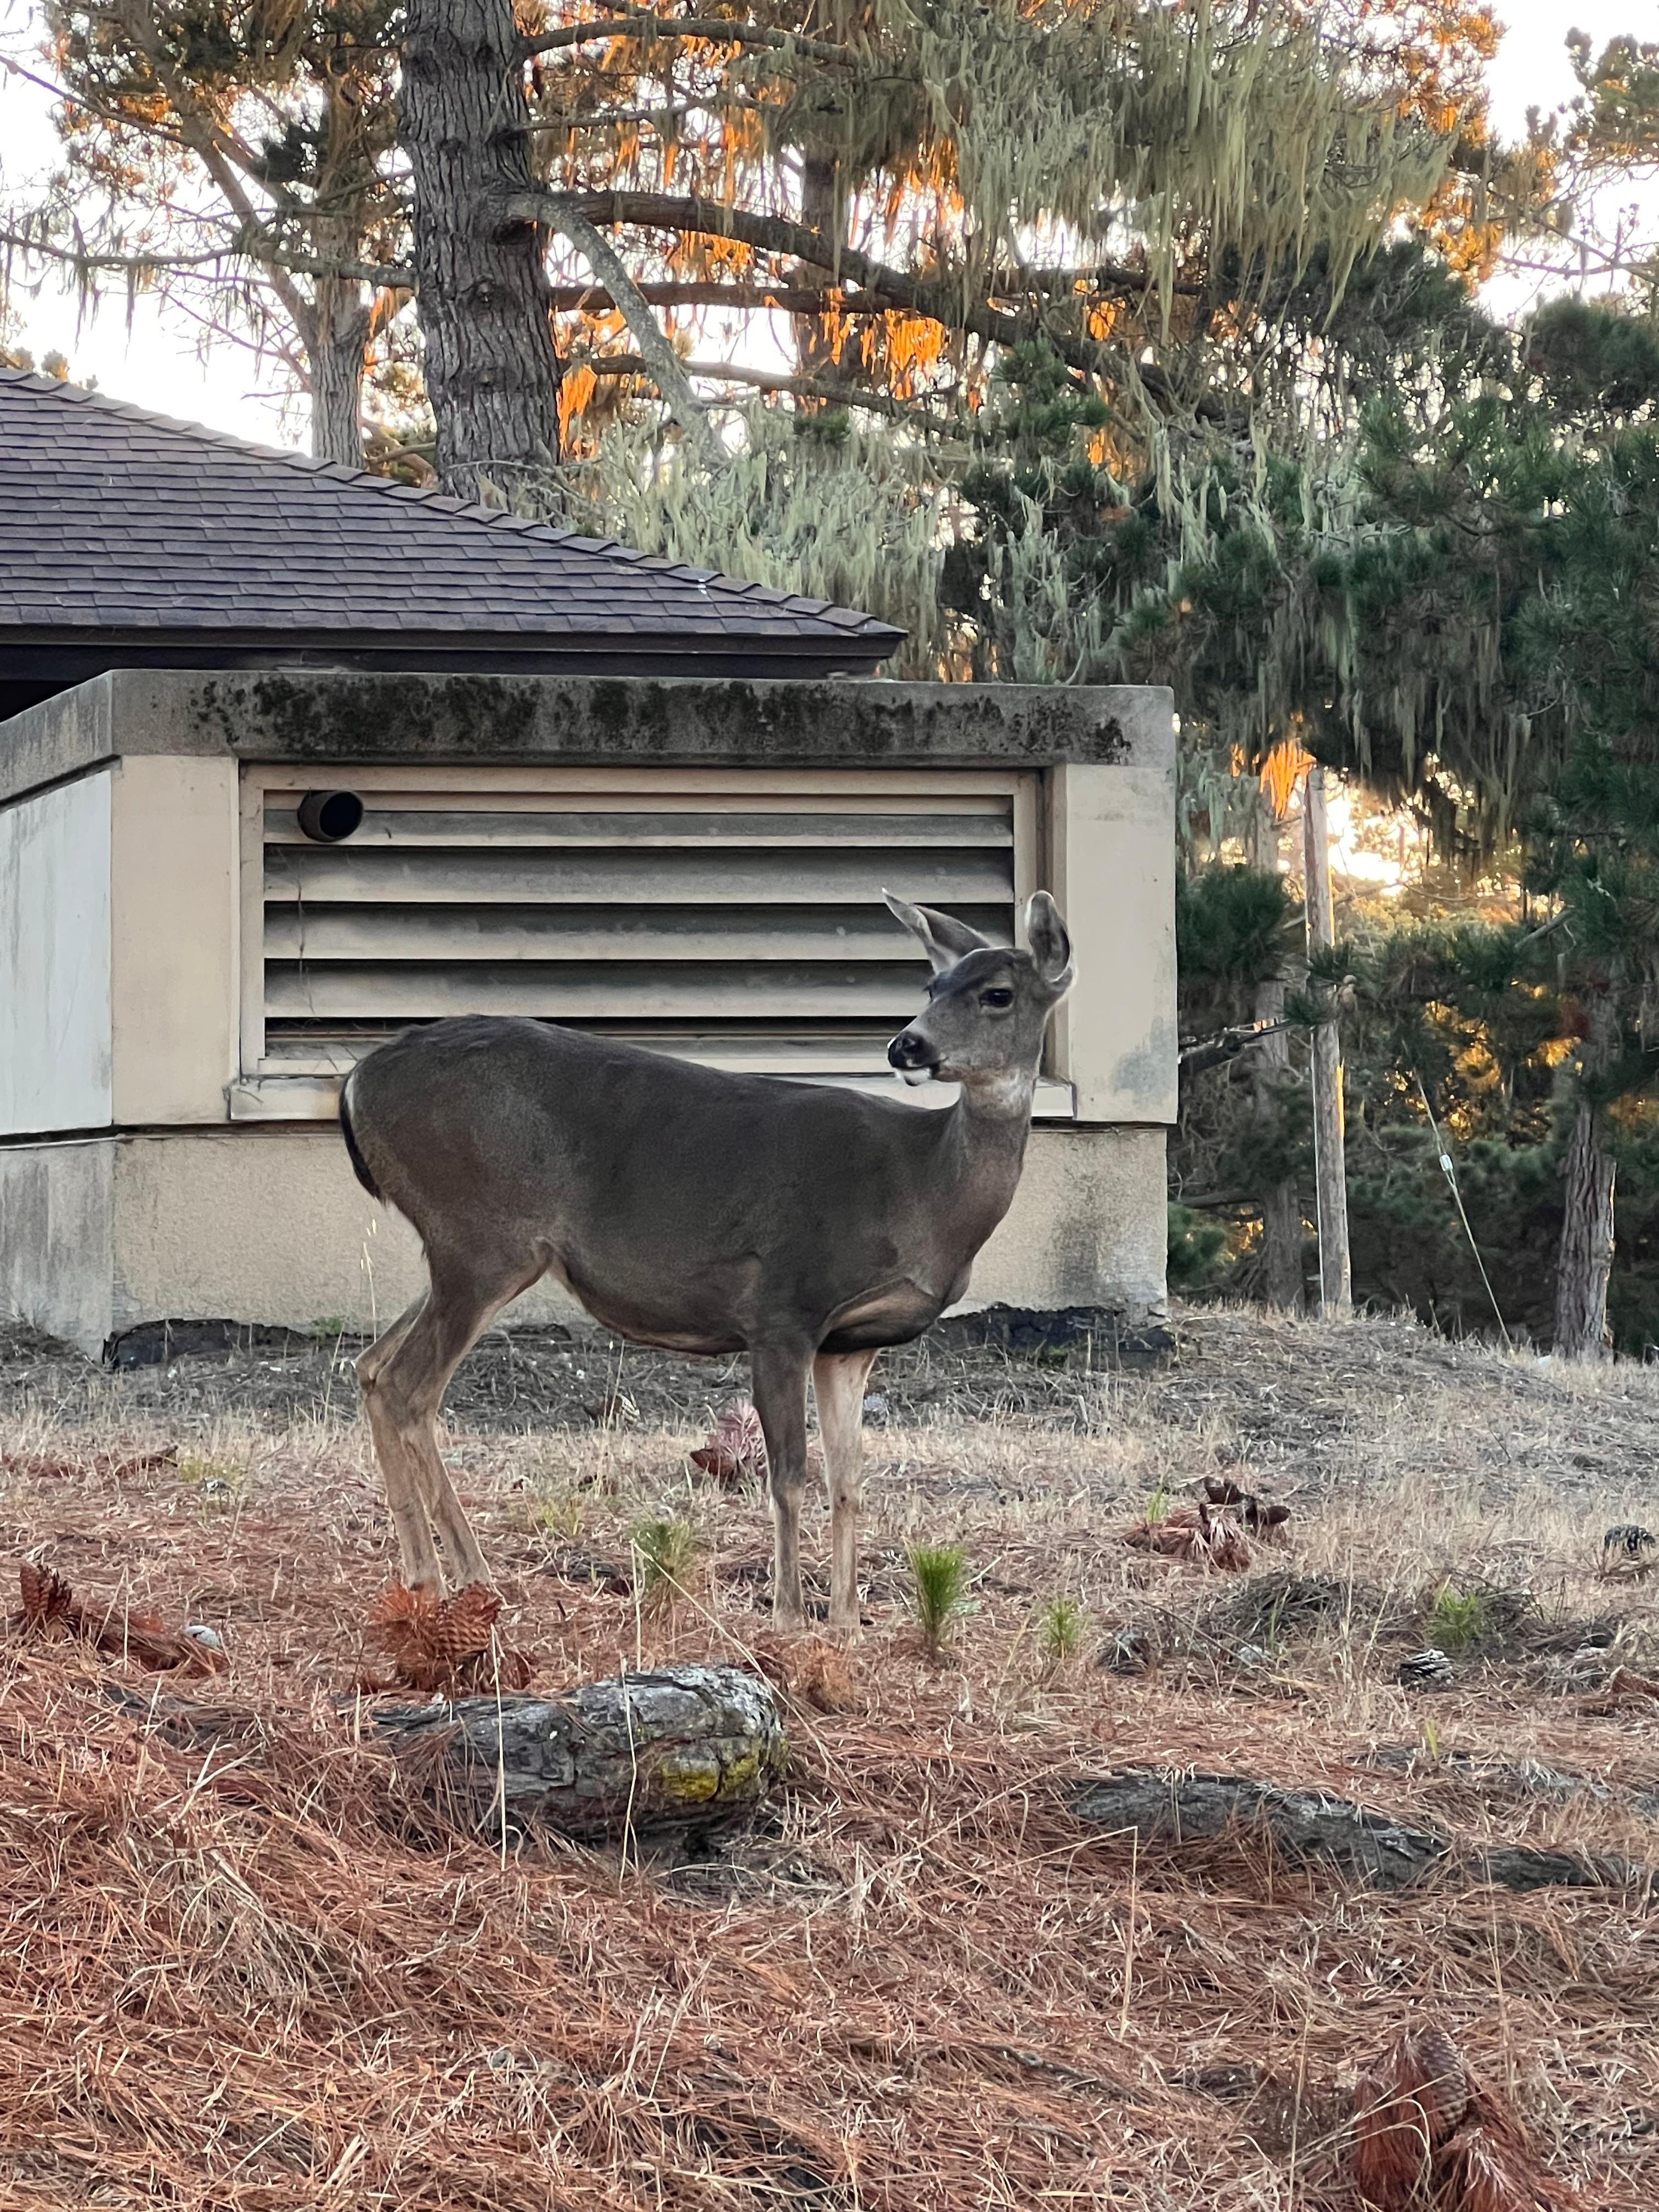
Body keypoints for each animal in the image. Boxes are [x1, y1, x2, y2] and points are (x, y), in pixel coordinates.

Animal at [338, 890, 1074, 1633]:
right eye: (931, 987)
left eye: (997, 993)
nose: (907, 1044)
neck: (922, 1190)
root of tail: (356, 1081)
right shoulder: (784, 1306)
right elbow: (790, 1474)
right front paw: (788, 1616)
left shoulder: (850, 1343)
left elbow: (848, 1479)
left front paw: (845, 1622)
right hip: (483, 1236)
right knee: (407, 1386)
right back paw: (469, 1575)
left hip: (459, 1249)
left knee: (371, 1365)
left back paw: (422, 1575)